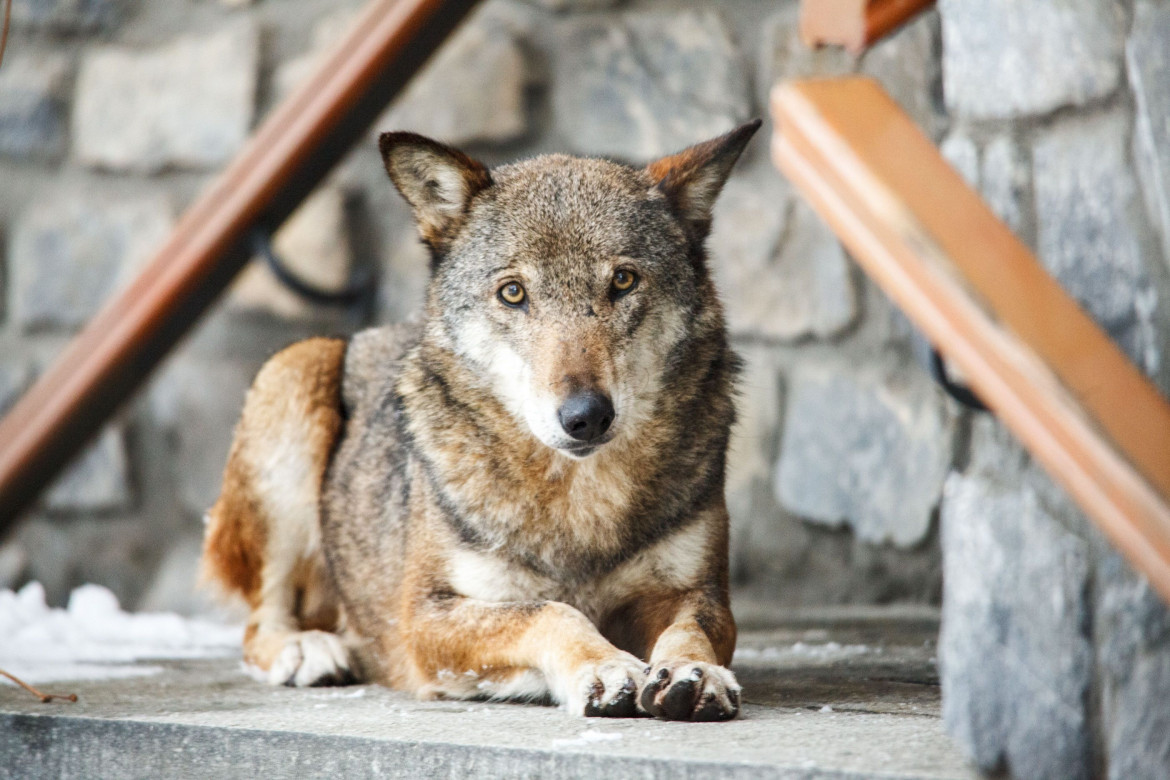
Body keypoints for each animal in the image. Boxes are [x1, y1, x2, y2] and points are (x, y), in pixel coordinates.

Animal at [200, 119, 758, 725]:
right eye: (513, 293)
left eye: (624, 281)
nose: (586, 416)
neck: (579, 502)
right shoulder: (428, 617)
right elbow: (552, 613)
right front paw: (606, 668)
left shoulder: (696, 592)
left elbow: (690, 631)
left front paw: (691, 672)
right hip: (296, 369)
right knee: (260, 623)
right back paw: (310, 651)